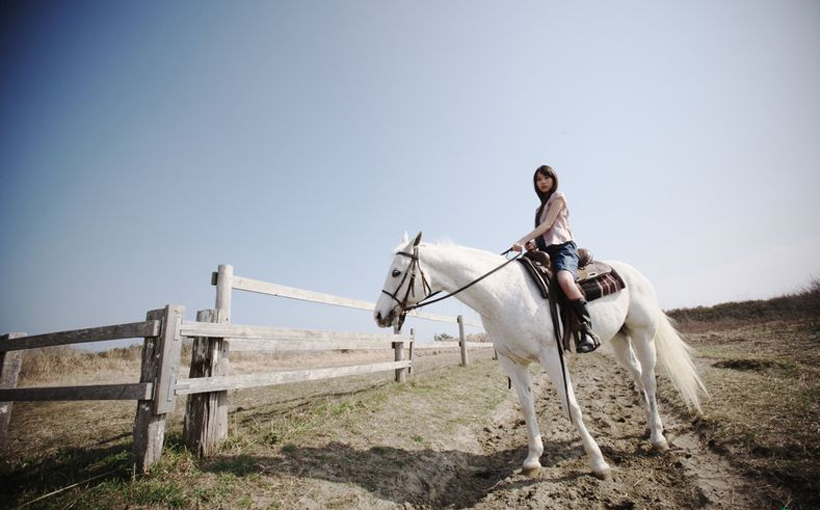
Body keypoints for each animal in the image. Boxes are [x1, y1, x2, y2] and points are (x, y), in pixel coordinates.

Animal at [374, 233, 708, 480]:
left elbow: (572, 407)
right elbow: (527, 407)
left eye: (396, 272)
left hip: (643, 334)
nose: (379, 314)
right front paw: (533, 459)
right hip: (619, 340)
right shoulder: (512, 362)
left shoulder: (551, 356)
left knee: (650, 380)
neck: (502, 293)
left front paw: (598, 463)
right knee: (638, 375)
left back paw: (658, 438)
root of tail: (636, 275)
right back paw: (650, 426)